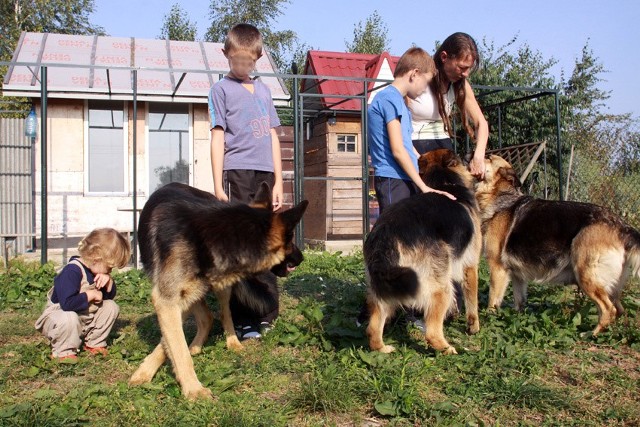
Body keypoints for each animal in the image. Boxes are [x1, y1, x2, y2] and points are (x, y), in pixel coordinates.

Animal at [128, 182, 308, 400]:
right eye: (290, 239)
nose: (302, 258)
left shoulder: (173, 300)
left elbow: (174, 342)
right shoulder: (167, 299)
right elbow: (177, 347)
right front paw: (192, 388)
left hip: (218, 287)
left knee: (223, 314)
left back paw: (230, 342)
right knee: (206, 317)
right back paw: (195, 346)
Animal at [364, 150, 480, 354]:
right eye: (460, 157)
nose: (470, 153)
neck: (444, 182)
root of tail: (386, 234)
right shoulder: (470, 266)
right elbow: (472, 300)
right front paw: (473, 327)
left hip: (385, 287)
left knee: (373, 327)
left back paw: (382, 348)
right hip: (441, 286)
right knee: (431, 332)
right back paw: (447, 349)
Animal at [472, 155, 640, 336]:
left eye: (488, 158)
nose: (470, 155)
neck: (500, 196)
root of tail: (621, 224)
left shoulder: (497, 269)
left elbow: (492, 300)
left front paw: (489, 320)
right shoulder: (518, 276)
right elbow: (519, 302)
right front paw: (516, 319)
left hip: (586, 275)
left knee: (609, 310)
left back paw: (591, 334)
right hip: (609, 285)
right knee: (619, 309)